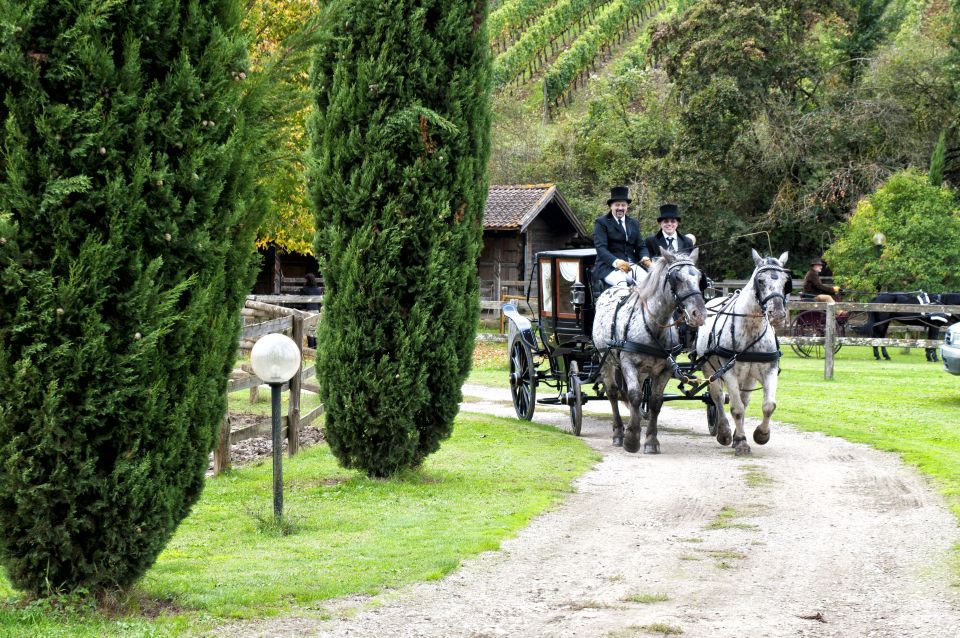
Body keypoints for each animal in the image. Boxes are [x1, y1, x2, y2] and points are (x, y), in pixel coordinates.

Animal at [588, 249, 708, 456]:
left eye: (700, 278)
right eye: (676, 277)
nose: (698, 314)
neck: (654, 325)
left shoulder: (666, 369)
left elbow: (654, 401)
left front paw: (651, 440)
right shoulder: (628, 363)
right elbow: (635, 396)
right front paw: (631, 439)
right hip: (606, 360)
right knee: (613, 393)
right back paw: (618, 433)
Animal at [692, 249, 792, 456]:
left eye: (785, 281)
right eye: (760, 280)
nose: (778, 314)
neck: (751, 328)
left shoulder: (769, 370)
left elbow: (768, 405)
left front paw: (760, 435)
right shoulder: (729, 372)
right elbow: (736, 408)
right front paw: (741, 442)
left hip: (748, 377)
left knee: (743, 400)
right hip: (711, 371)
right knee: (718, 398)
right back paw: (724, 432)